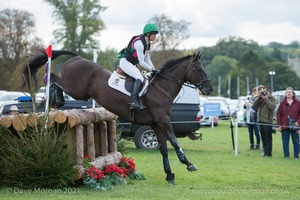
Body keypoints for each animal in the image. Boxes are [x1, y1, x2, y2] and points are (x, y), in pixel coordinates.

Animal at [21, 49, 213, 184]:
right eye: (198, 69)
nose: (209, 89)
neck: (161, 88)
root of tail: (76, 58)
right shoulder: (163, 121)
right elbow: (174, 141)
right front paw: (188, 164)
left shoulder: (156, 124)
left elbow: (164, 148)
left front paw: (169, 175)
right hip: (77, 90)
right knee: (52, 77)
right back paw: (54, 97)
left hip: (80, 92)